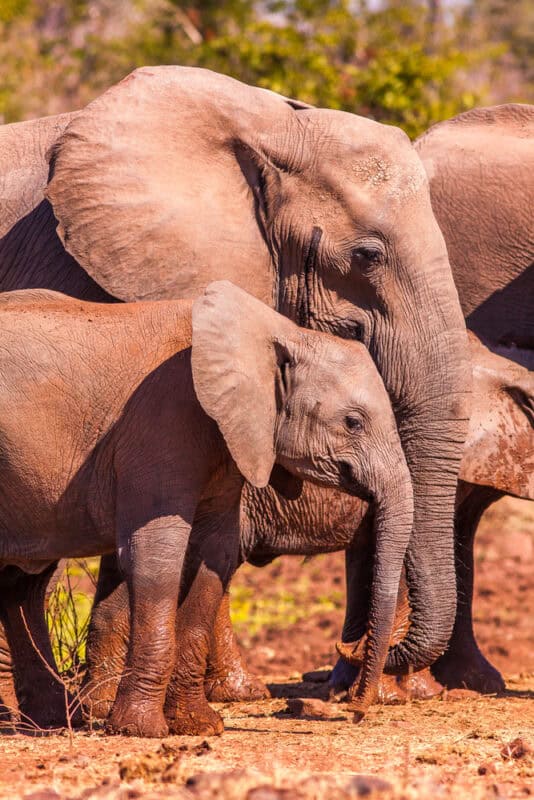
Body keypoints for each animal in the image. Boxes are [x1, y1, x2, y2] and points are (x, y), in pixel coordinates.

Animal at [0, 282, 414, 736]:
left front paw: (197, 726)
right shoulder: (162, 422)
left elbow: (213, 556)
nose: (355, 710)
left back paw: (52, 721)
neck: (278, 333)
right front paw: (140, 730)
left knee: (23, 584)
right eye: (353, 422)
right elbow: (158, 558)